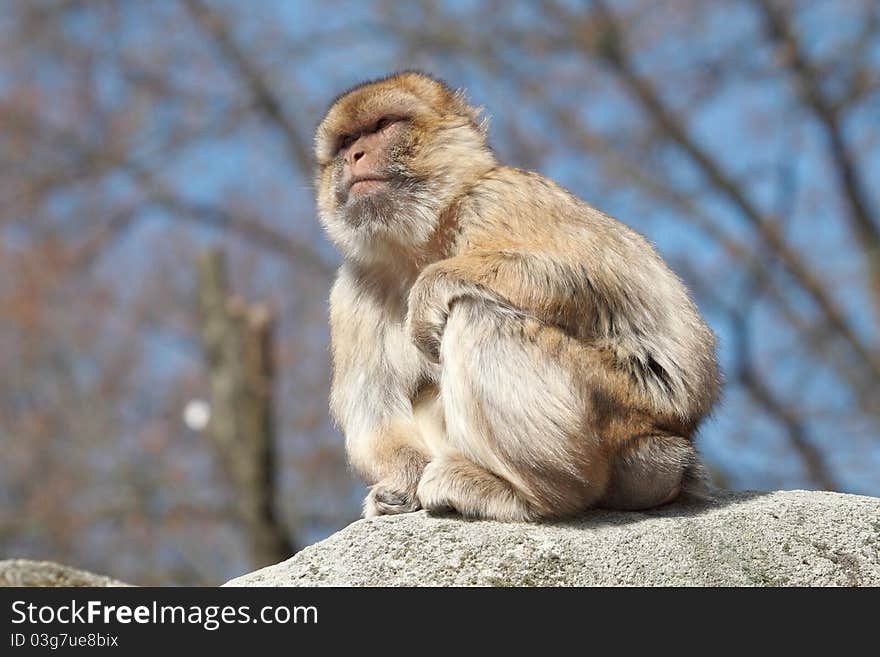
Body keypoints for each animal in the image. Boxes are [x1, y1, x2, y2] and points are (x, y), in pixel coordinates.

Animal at [312, 72, 720, 520]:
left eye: (383, 125)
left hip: (621, 415)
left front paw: (430, 288)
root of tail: (674, 456)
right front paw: (400, 486)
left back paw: (530, 496)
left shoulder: (500, 197)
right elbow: (373, 403)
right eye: (346, 141)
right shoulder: (352, 289)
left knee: (477, 314)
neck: (420, 240)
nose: (356, 156)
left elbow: (591, 277)